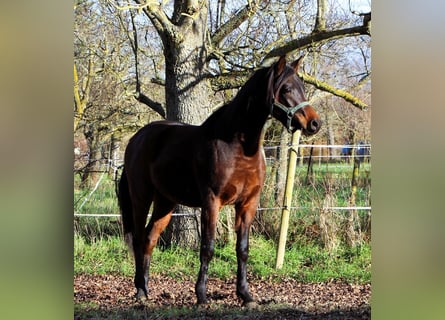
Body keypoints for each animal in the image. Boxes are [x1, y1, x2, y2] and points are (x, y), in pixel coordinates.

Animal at [116, 55, 320, 304]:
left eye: (303, 87)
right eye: (287, 88)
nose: (314, 123)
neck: (237, 147)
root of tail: (137, 138)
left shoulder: (248, 203)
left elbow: (243, 249)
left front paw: (245, 294)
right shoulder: (212, 202)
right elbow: (208, 248)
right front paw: (202, 295)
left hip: (165, 202)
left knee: (149, 239)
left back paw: (146, 288)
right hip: (141, 198)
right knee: (137, 239)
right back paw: (139, 291)